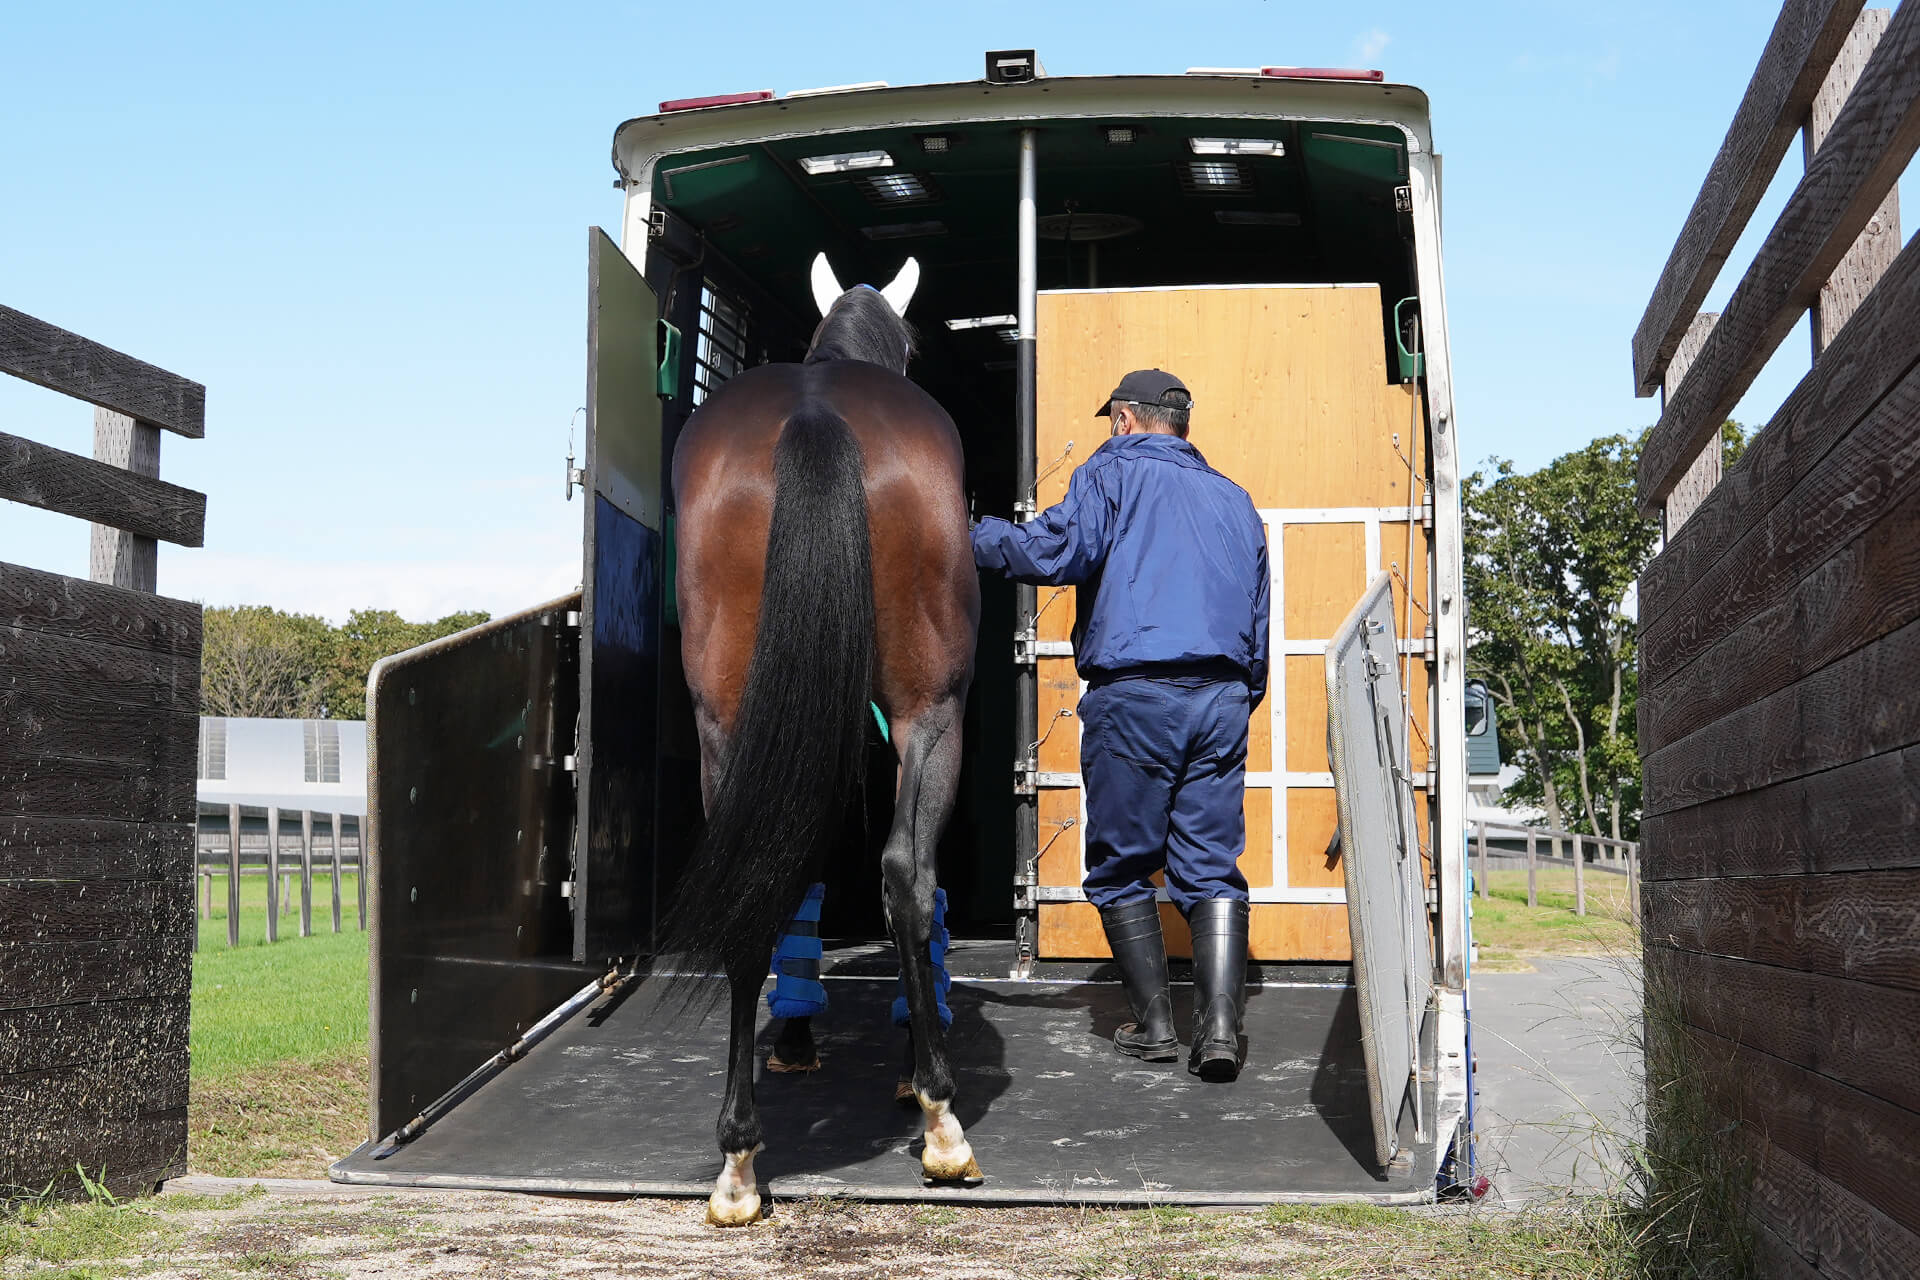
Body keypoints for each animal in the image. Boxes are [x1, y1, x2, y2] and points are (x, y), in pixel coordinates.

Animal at [659, 252, 982, 1226]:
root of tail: (814, 415)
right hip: (932, 712)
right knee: (905, 874)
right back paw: (941, 1118)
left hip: (726, 724)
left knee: (751, 885)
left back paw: (738, 1162)